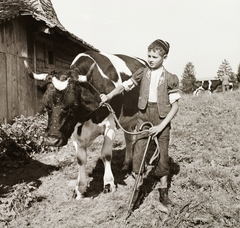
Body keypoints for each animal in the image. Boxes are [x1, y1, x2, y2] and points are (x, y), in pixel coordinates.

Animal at [24, 51, 146, 200]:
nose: (51, 140)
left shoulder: (110, 125)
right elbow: (80, 159)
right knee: (129, 139)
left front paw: (108, 184)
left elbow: (106, 154)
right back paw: (126, 164)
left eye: (73, 106)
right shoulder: (75, 131)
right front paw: (80, 189)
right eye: (47, 106)